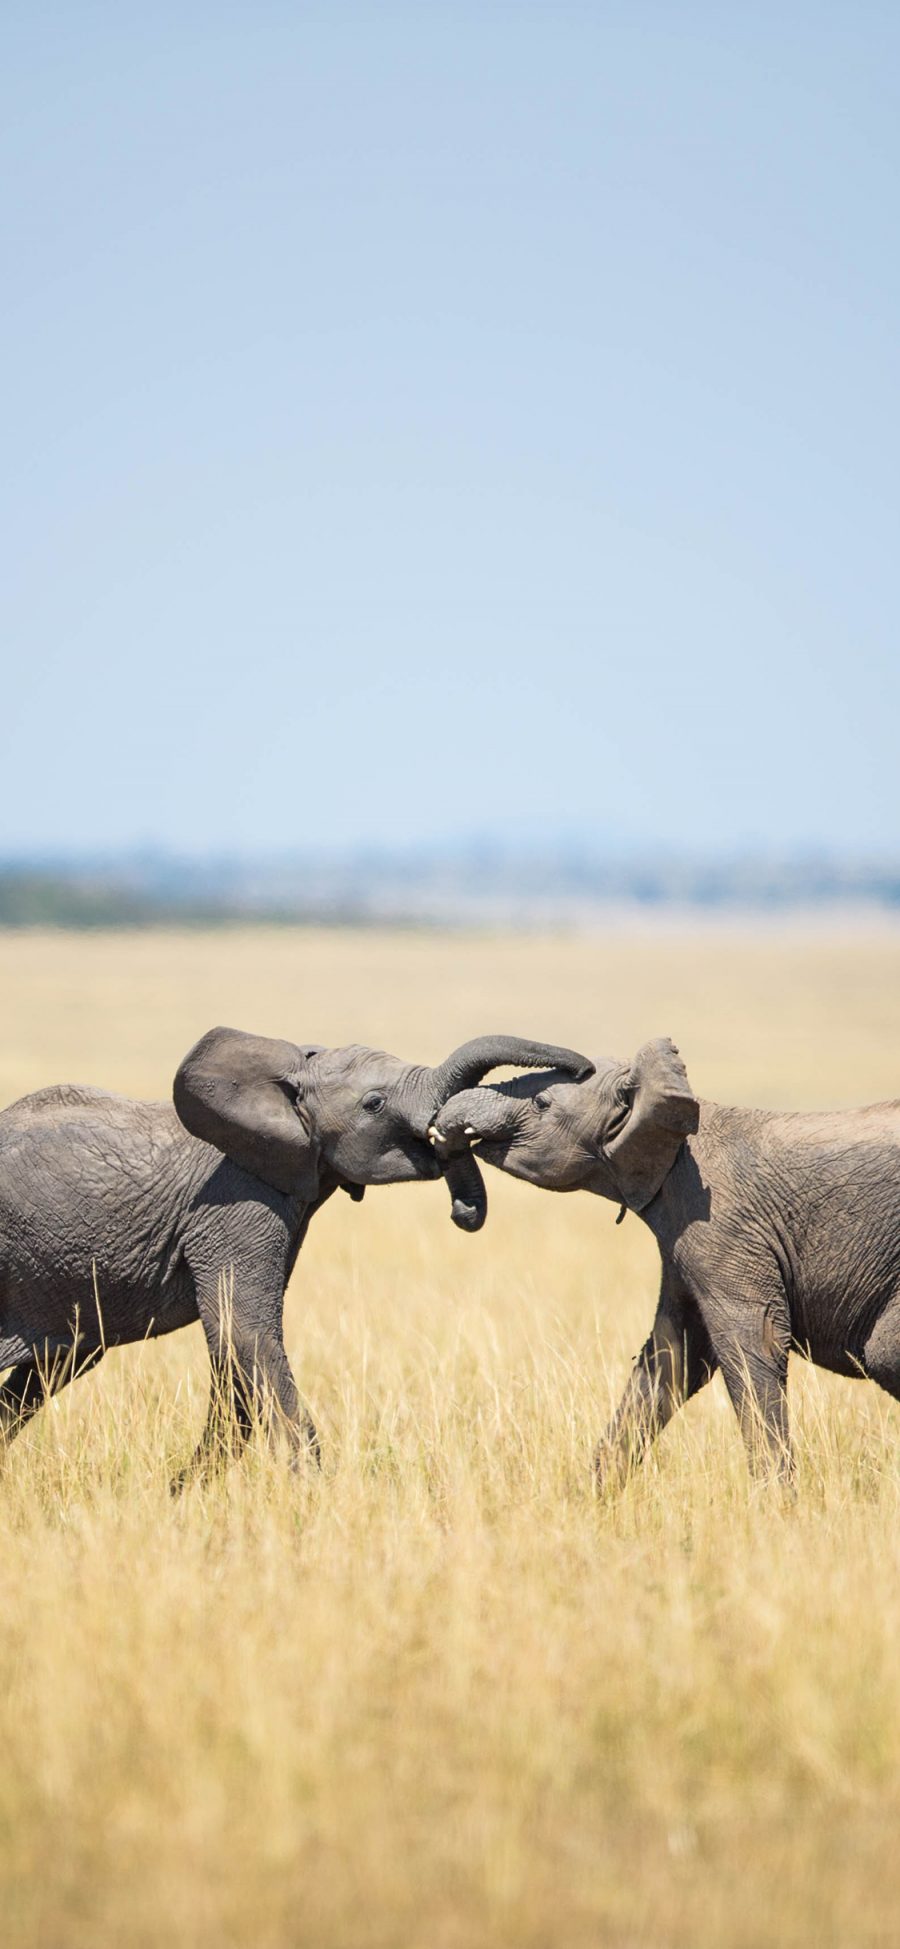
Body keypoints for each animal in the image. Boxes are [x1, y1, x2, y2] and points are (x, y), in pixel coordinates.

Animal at [0, 1029, 592, 1481]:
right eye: (374, 1104)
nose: (582, 1068)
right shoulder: (238, 1198)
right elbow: (248, 1334)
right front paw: (312, 1495)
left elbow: (234, 1355)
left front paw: (184, 1497)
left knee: (49, 1369)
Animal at [428, 1044, 900, 1481]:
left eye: (542, 1104)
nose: (463, 1212)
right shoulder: (684, 1238)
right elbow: (672, 1355)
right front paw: (593, 1497)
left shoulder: (723, 1225)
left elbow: (754, 1341)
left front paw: (776, 1503)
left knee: (881, 1354)